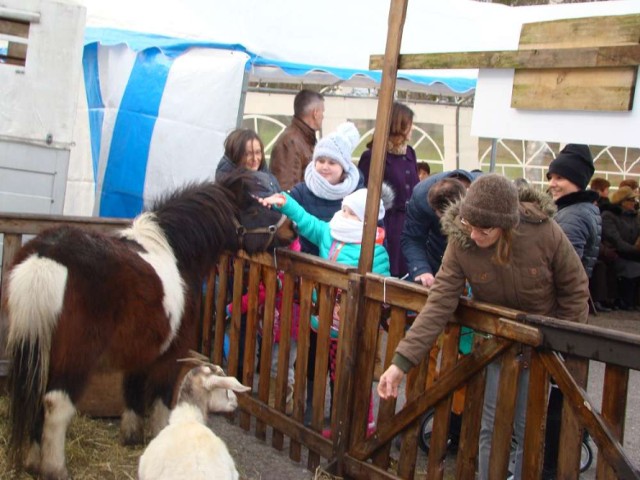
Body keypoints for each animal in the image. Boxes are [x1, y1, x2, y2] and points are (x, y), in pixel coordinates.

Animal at [3, 172, 294, 480]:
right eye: (253, 210)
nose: (292, 230)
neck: (175, 250)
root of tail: (48, 255)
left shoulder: (140, 348)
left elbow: (132, 391)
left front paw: (131, 437)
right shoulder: (172, 353)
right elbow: (161, 398)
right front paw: (158, 432)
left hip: (37, 352)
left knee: (35, 398)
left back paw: (32, 461)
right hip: (74, 358)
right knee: (56, 405)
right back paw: (55, 468)